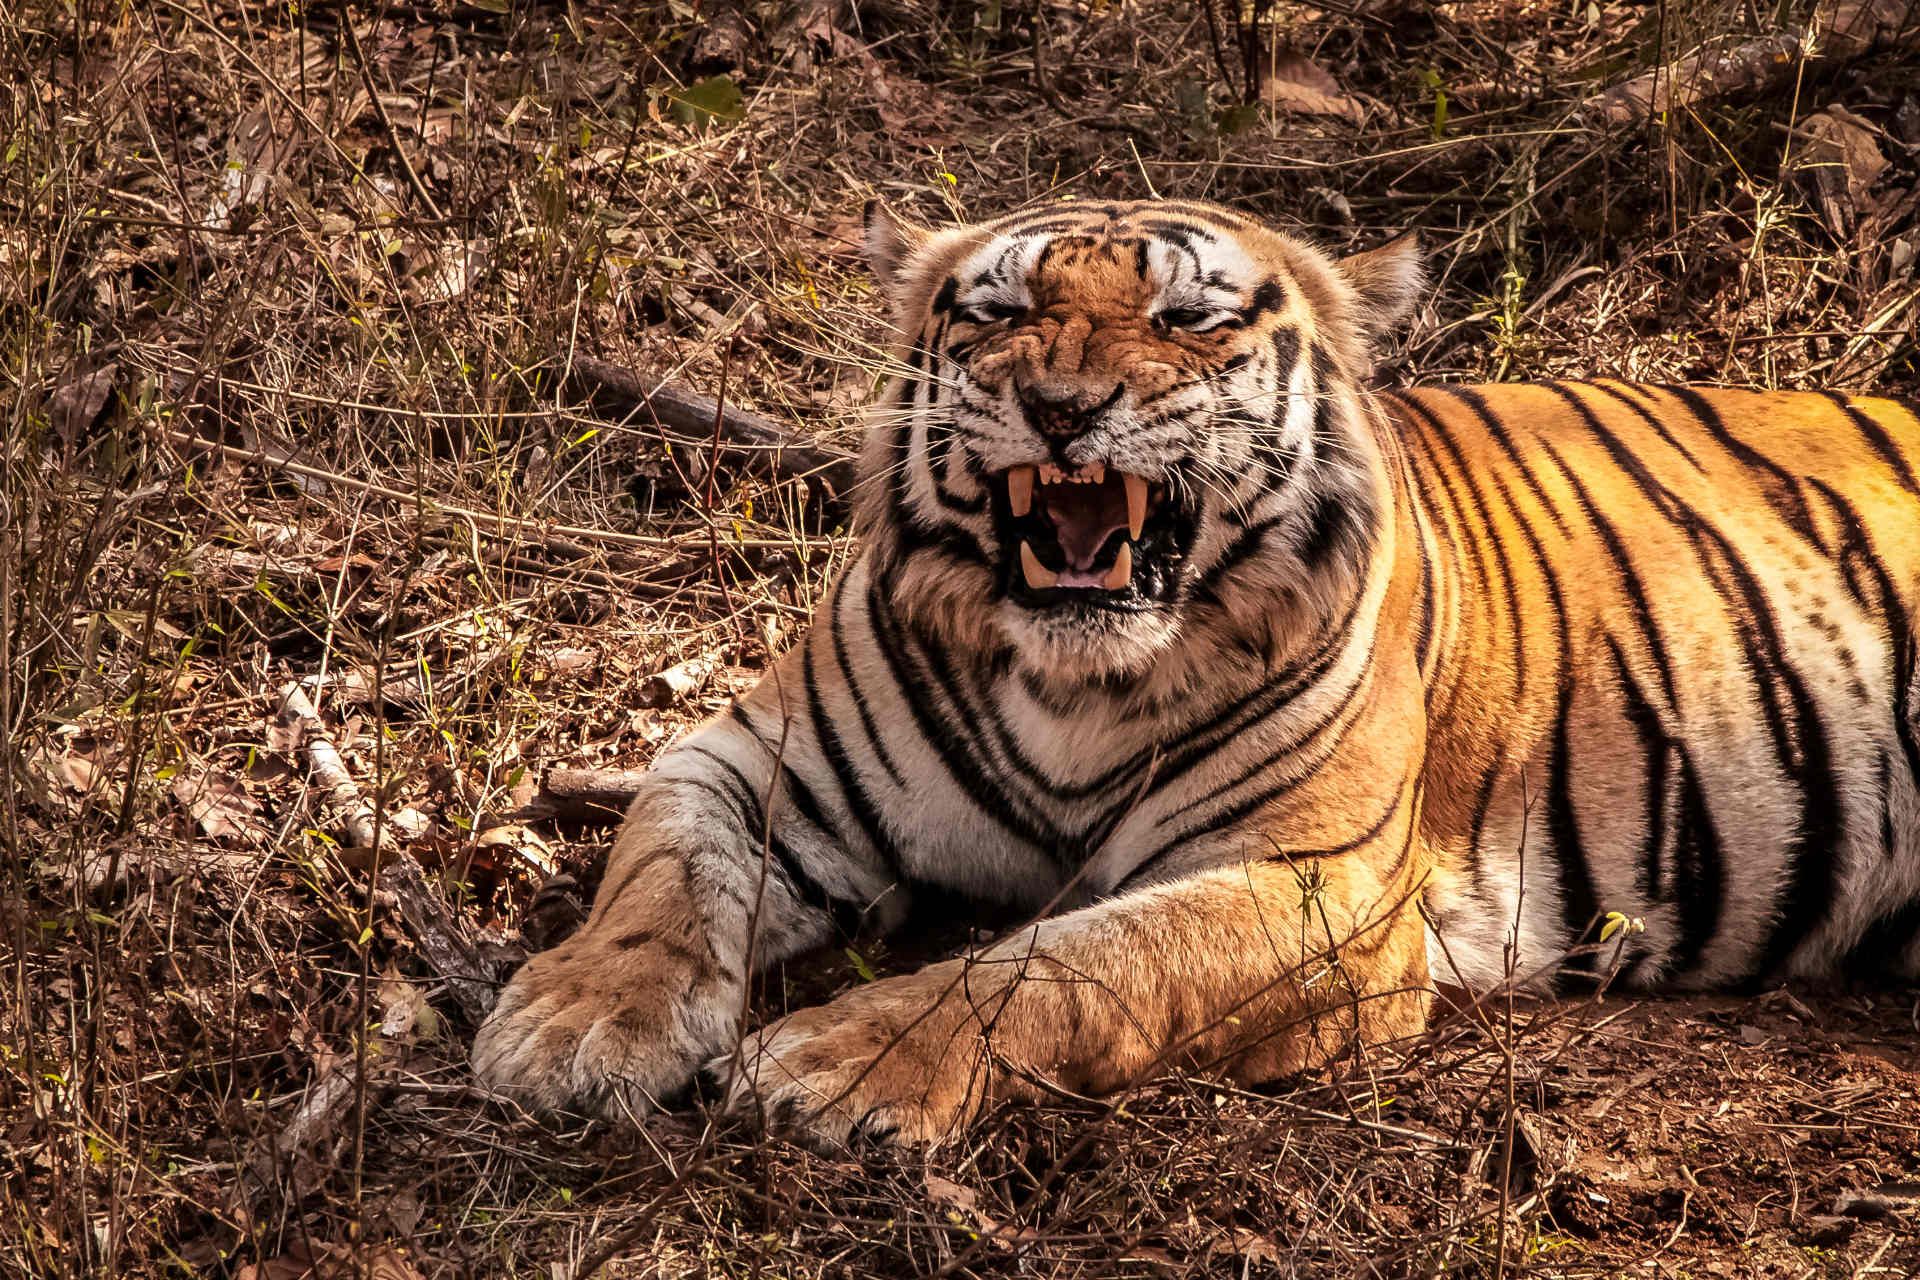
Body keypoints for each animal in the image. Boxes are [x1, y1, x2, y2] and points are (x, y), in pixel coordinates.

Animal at [471, 197, 1920, 1147]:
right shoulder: (753, 760)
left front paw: (843, 1057)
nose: (1061, 408)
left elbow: (1070, 963)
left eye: (1187, 317)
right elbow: (659, 871)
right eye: (999, 311)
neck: (1072, 687)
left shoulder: (1315, 882)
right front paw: (573, 1027)